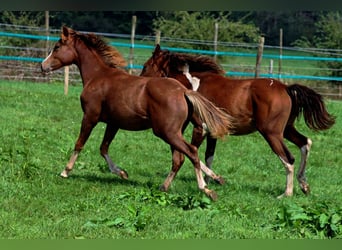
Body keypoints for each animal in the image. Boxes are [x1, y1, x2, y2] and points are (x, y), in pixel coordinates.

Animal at [39, 26, 232, 200]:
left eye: (57, 46)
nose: (42, 66)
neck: (98, 76)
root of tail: (183, 91)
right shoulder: (113, 123)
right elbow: (103, 148)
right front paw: (122, 172)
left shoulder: (90, 117)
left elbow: (80, 144)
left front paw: (65, 171)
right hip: (174, 132)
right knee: (180, 158)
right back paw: (165, 187)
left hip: (166, 132)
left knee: (191, 152)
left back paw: (206, 189)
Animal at [140, 44, 336, 198]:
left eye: (145, 65)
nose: (141, 82)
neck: (192, 85)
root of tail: (286, 88)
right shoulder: (213, 133)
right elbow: (208, 156)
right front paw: (211, 181)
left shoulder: (200, 128)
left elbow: (192, 153)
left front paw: (214, 180)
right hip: (287, 129)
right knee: (305, 143)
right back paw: (304, 185)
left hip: (272, 133)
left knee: (289, 158)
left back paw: (286, 194)